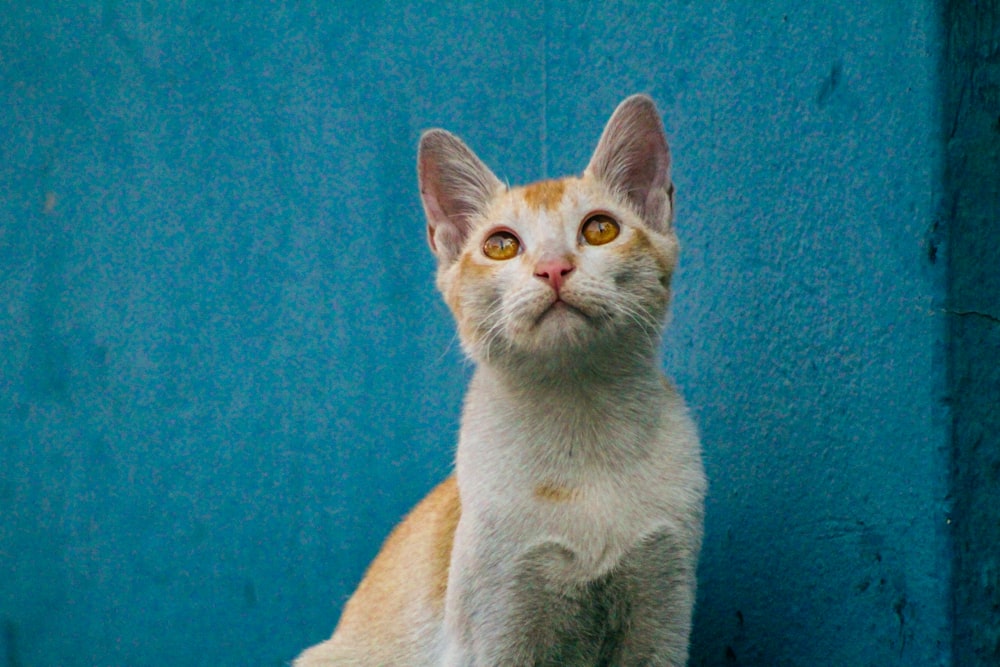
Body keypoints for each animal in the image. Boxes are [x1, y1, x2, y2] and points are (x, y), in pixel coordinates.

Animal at [292, 95, 708, 667]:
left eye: (600, 229)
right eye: (501, 246)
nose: (553, 268)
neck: (579, 425)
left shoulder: (661, 620)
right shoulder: (496, 631)